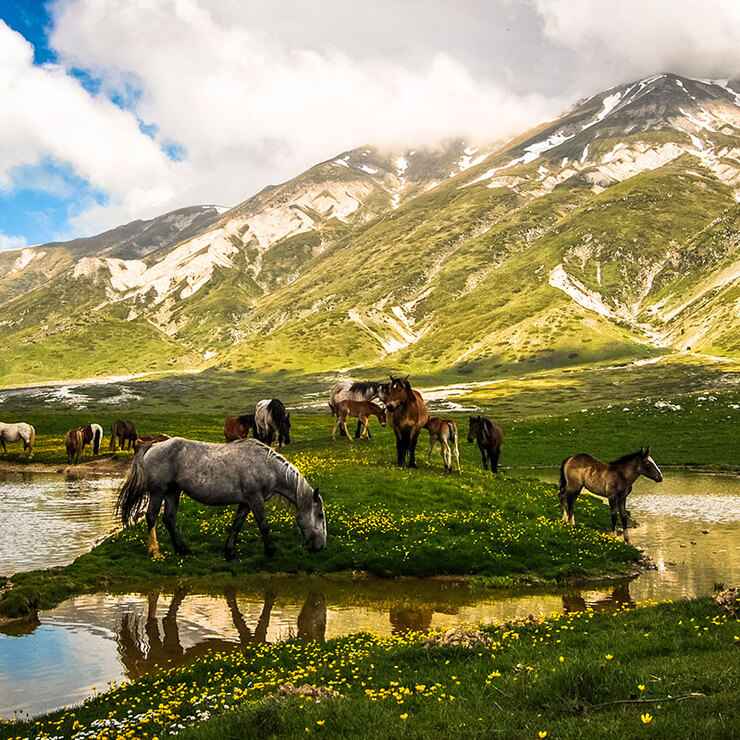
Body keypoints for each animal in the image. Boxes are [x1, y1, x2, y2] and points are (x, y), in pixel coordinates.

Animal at [116, 436, 326, 556]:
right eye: (320, 515)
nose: (321, 546)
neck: (266, 466)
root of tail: (153, 446)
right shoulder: (255, 499)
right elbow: (264, 525)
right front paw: (271, 551)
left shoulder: (246, 502)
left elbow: (237, 524)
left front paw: (229, 551)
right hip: (158, 491)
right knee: (151, 517)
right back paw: (155, 552)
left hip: (173, 492)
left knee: (169, 518)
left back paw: (182, 549)